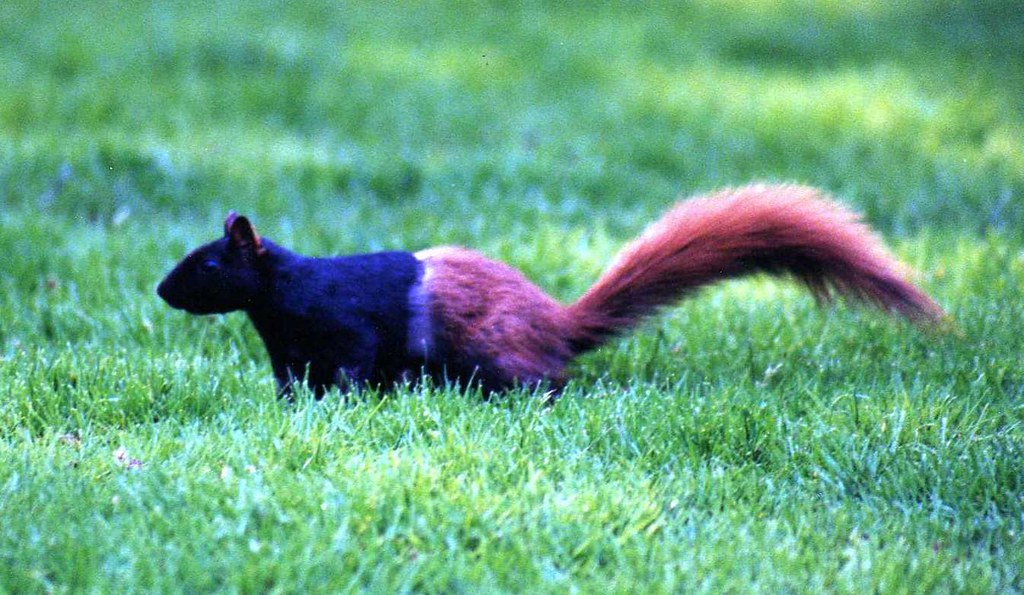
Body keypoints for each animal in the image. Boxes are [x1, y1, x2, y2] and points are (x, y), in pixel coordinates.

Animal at [157, 184, 945, 397]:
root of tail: (558, 325)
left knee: (546, 379)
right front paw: (294, 408)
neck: (284, 294)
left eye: (208, 265)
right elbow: (292, 381)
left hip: (491, 350)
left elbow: (349, 366)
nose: (163, 290)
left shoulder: (343, 326)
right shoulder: (285, 348)